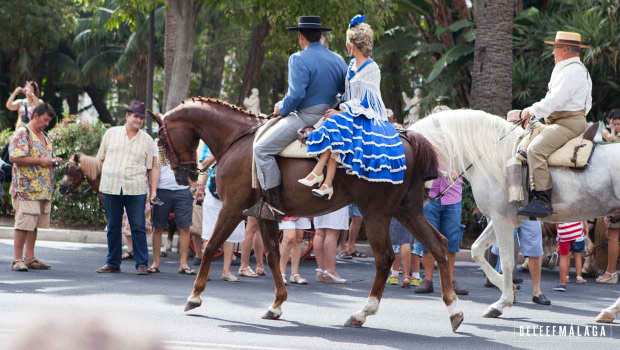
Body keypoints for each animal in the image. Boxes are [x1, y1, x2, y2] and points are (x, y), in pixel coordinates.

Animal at [153, 98, 464, 330]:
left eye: (162, 139)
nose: (183, 176)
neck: (236, 139)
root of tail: (405, 135)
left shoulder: (232, 208)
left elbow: (211, 247)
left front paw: (194, 296)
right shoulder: (264, 214)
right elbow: (273, 255)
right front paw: (276, 304)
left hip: (377, 213)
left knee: (386, 257)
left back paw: (363, 312)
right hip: (406, 210)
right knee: (439, 245)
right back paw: (454, 311)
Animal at [410, 110, 620, 318]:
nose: (422, 195)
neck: (493, 157)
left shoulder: (501, 219)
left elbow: (507, 261)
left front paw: (502, 302)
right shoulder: (502, 219)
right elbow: (477, 250)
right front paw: (507, 288)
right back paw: (608, 312)